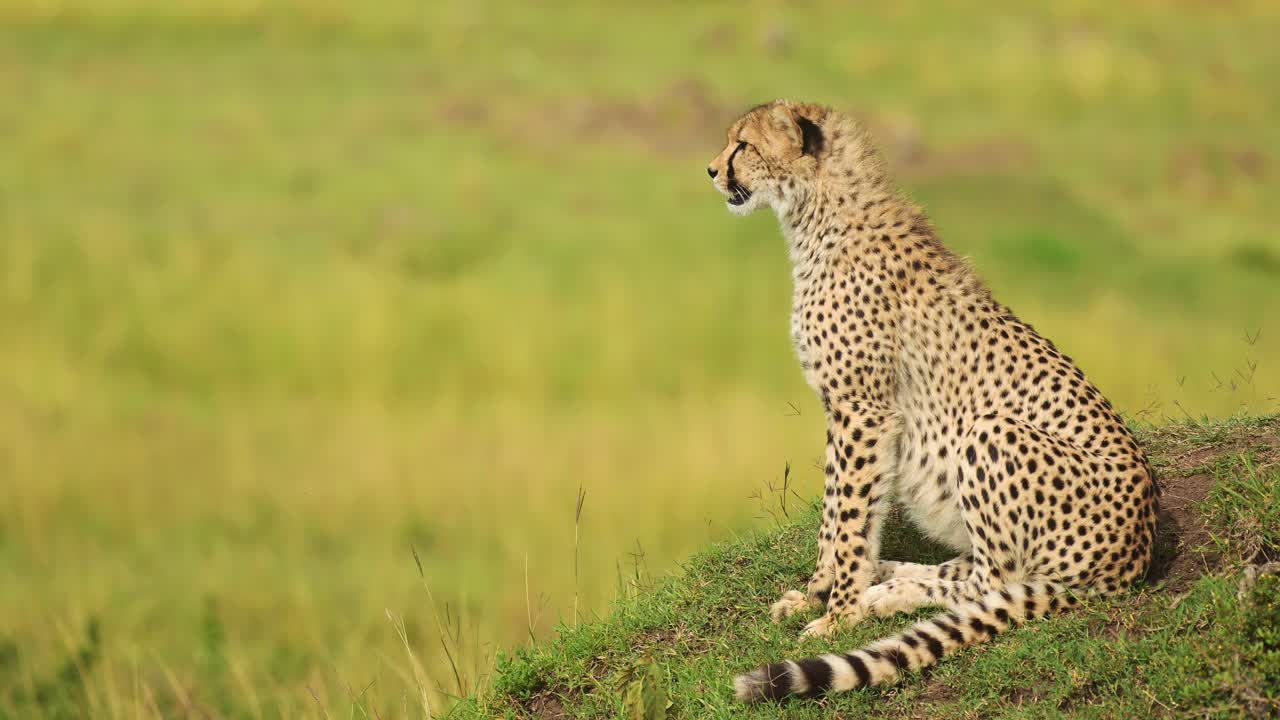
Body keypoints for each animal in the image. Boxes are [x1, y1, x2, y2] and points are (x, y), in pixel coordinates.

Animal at [705, 100, 1157, 702]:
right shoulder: (845, 410)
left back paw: (887, 594)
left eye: (744, 145)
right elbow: (834, 512)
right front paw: (817, 591)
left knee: (995, 581)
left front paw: (838, 614)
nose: (711, 170)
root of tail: (1137, 555)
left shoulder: (863, 408)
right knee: (973, 570)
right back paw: (893, 572)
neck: (817, 212)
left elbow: (849, 518)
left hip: (990, 432)